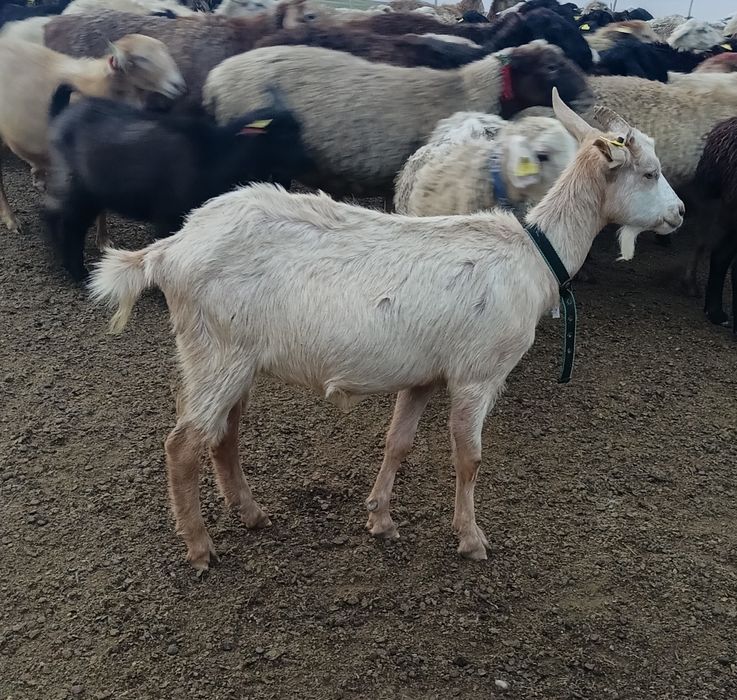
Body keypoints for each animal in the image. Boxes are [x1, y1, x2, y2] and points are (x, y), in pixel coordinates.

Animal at [88, 89, 684, 571]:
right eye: (650, 172)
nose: (678, 214)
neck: (535, 255)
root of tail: (170, 248)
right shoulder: (477, 374)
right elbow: (469, 457)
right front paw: (471, 538)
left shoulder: (423, 375)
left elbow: (398, 442)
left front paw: (379, 517)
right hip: (216, 352)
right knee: (182, 444)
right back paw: (199, 546)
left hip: (232, 356)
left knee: (223, 434)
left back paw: (251, 512)